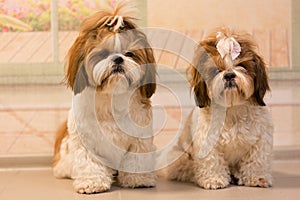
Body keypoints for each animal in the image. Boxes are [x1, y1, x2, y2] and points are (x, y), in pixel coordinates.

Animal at [53, 0, 157, 193]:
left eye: (129, 54)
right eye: (103, 54)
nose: (118, 59)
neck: (111, 99)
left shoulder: (139, 138)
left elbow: (137, 158)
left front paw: (139, 180)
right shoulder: (87, 142)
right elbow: (90, 162)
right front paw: (92, 182)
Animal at [166, 27, 274, 189]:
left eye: (242, 66)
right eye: (216, 70)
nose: (229, 75)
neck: (232, 110)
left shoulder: (261, 139)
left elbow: (256, 160)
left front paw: (257, 178)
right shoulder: (207, 141)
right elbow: (212, 161)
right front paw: (214, 179)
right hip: (180, 158)